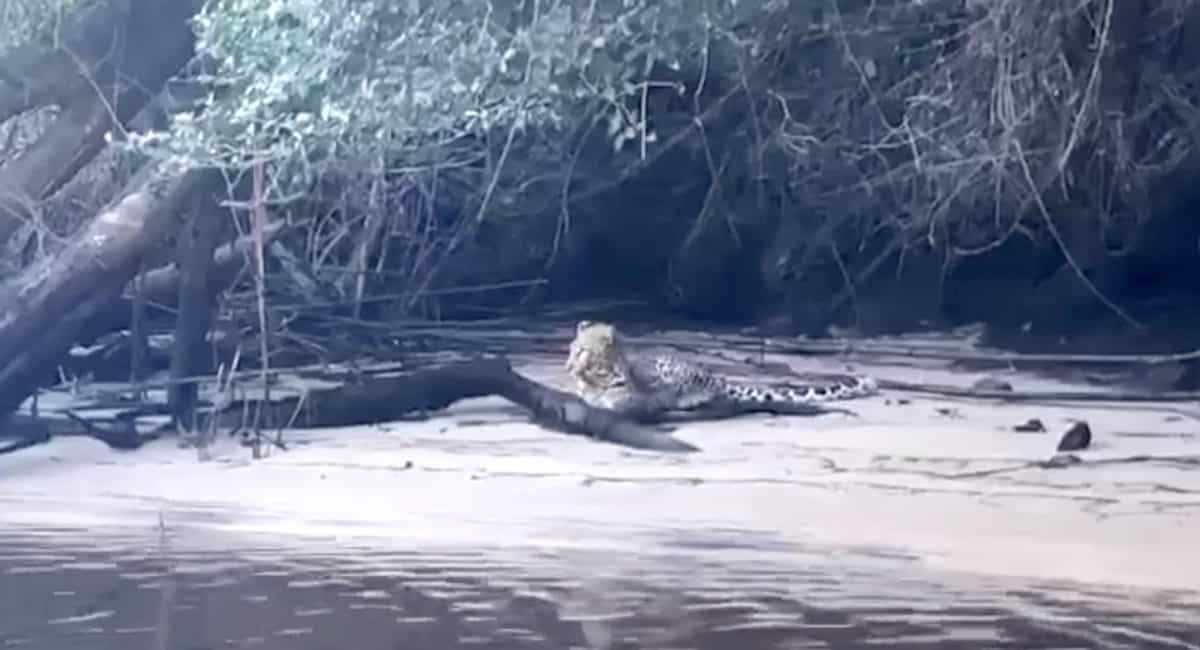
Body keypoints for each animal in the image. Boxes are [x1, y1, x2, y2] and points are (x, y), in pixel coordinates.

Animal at [564, 320, 878, 416]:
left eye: (582, 352)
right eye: (570, 348)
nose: (567, 366)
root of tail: (717, 379)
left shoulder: (631, 399)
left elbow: (613, 401)